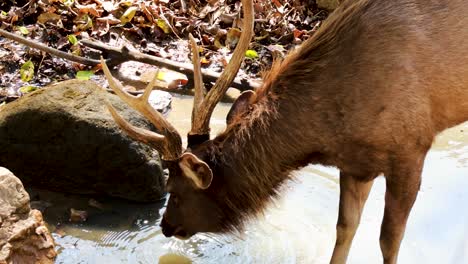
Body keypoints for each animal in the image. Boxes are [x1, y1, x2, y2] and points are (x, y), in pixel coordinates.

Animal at [100, 0, 468, 264]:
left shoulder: (411, 148)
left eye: (174, 190)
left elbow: (389, 241)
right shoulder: (356, 165)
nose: (165, 227)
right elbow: (344, 229)